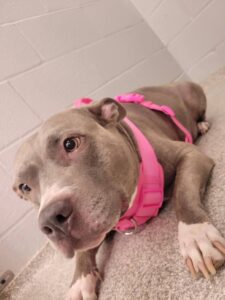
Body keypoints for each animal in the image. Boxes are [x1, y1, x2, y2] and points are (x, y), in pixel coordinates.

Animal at [12, 82, 225, 300]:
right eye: (24, 187)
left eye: (70, 143)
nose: (51, 220)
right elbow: (83, 251)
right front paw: (80, 281)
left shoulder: (190, 154)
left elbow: (183, 192)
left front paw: (196, 236)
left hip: (193, 92)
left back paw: (202, 125)